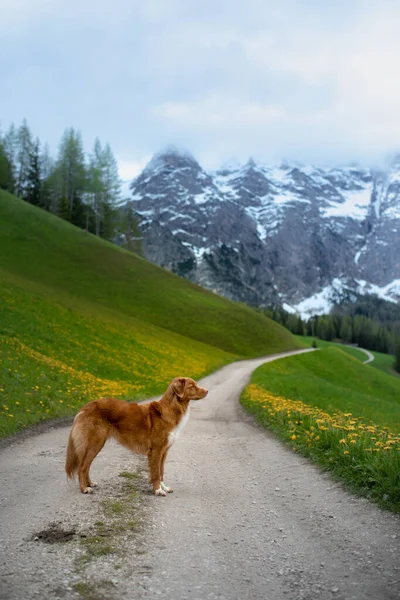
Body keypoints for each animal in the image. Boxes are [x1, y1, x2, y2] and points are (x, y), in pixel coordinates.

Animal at [64, 376, 208, 496]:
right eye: (192, 386)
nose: (206, 391)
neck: (171, 409)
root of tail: (85, 407)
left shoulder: (164, 451)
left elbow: (161, 472)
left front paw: (164, 488)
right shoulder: (156, 451)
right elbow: (156, 473)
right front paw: (158, 490)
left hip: (96, 444)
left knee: (86, 466)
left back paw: (90, 483)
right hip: (95, 443)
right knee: (82, 468)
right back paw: (84, 489)